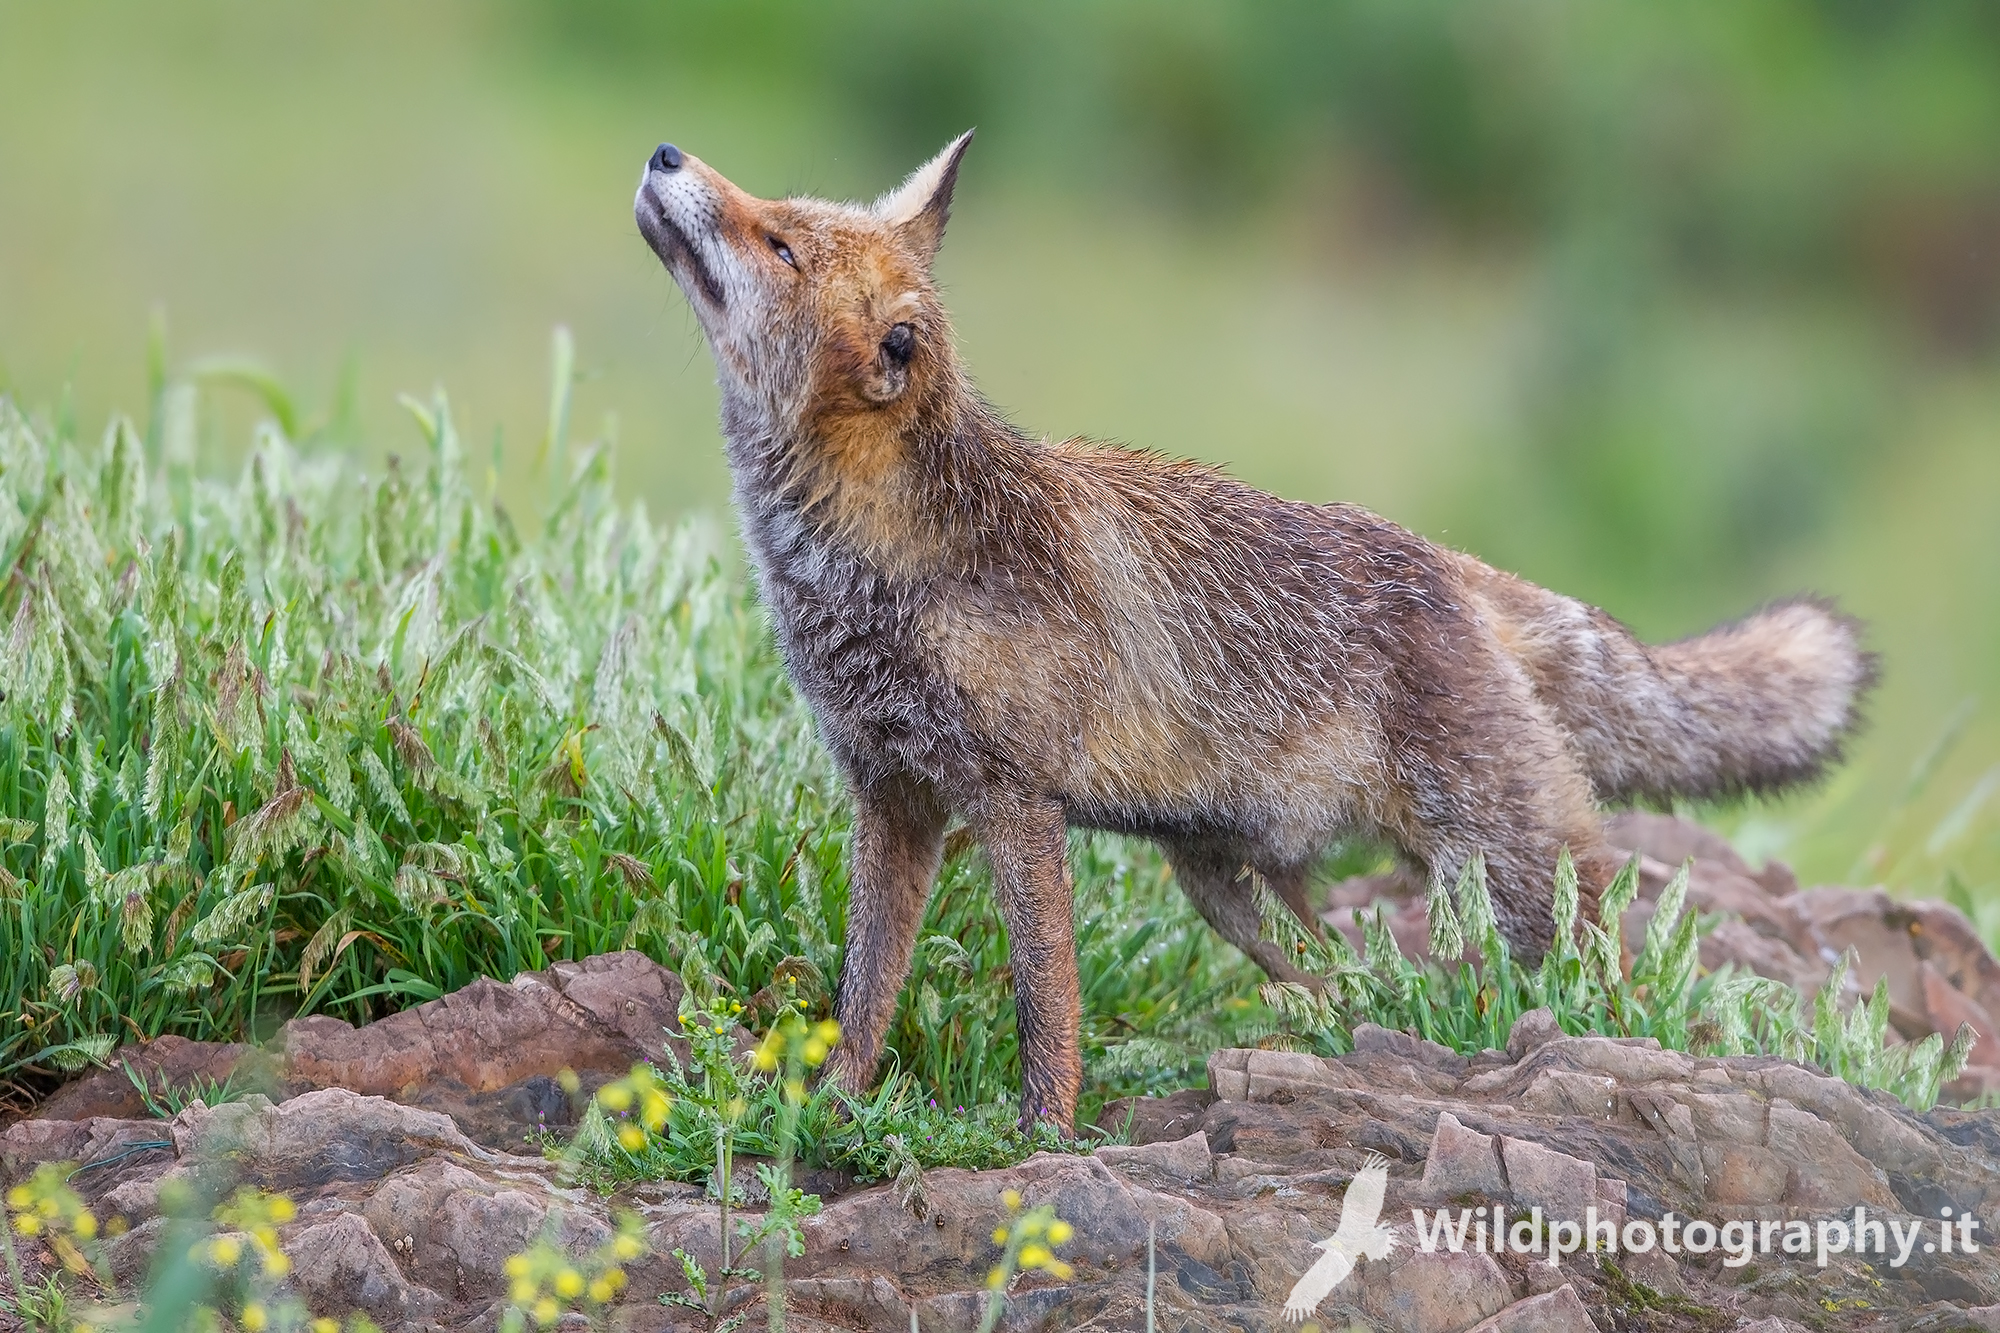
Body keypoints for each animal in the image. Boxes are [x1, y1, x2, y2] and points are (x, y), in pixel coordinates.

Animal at [634, 131, 1874, 1131]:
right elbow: (864, 990)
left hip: (1507, 863)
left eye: (778, 241)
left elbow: (1044, 1005)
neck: (879, 566)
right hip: (1229, 891)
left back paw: (1609, 1046)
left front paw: (1039, 1136)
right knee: (1347, 977)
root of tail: (1442, 561)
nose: (664, 152)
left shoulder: (1012, 802)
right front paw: (829, 1103)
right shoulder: (891, 795)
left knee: (1602, 966)